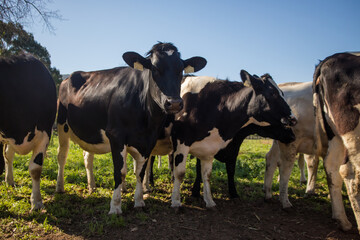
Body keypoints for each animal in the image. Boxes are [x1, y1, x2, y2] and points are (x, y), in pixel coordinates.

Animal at [0, 54, 57, 210]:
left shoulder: (45, 135)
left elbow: (35, 169)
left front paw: (36, 202)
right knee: (8, 155)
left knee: (8, 155)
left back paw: (10, 181)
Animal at [57, 41, 208, 214]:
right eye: (155, 69)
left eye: (180, 70)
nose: (175, 103)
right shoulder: (116, 136)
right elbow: (120, 172)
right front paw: (115, 206)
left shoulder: (149, 140)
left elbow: (140, 172)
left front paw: (139, 201)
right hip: (61, 125)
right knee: (62, 156)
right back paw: (60, 187)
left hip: (90, 132)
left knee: (88, 157)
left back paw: (92, 187)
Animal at [170, 70, 296, 208]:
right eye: (273, 93)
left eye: (282, 93)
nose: (293, 119)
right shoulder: (182, 142)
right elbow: (180, 173)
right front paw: (176, 201)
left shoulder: (210, 147)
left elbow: (207, 174)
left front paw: (210, 201)